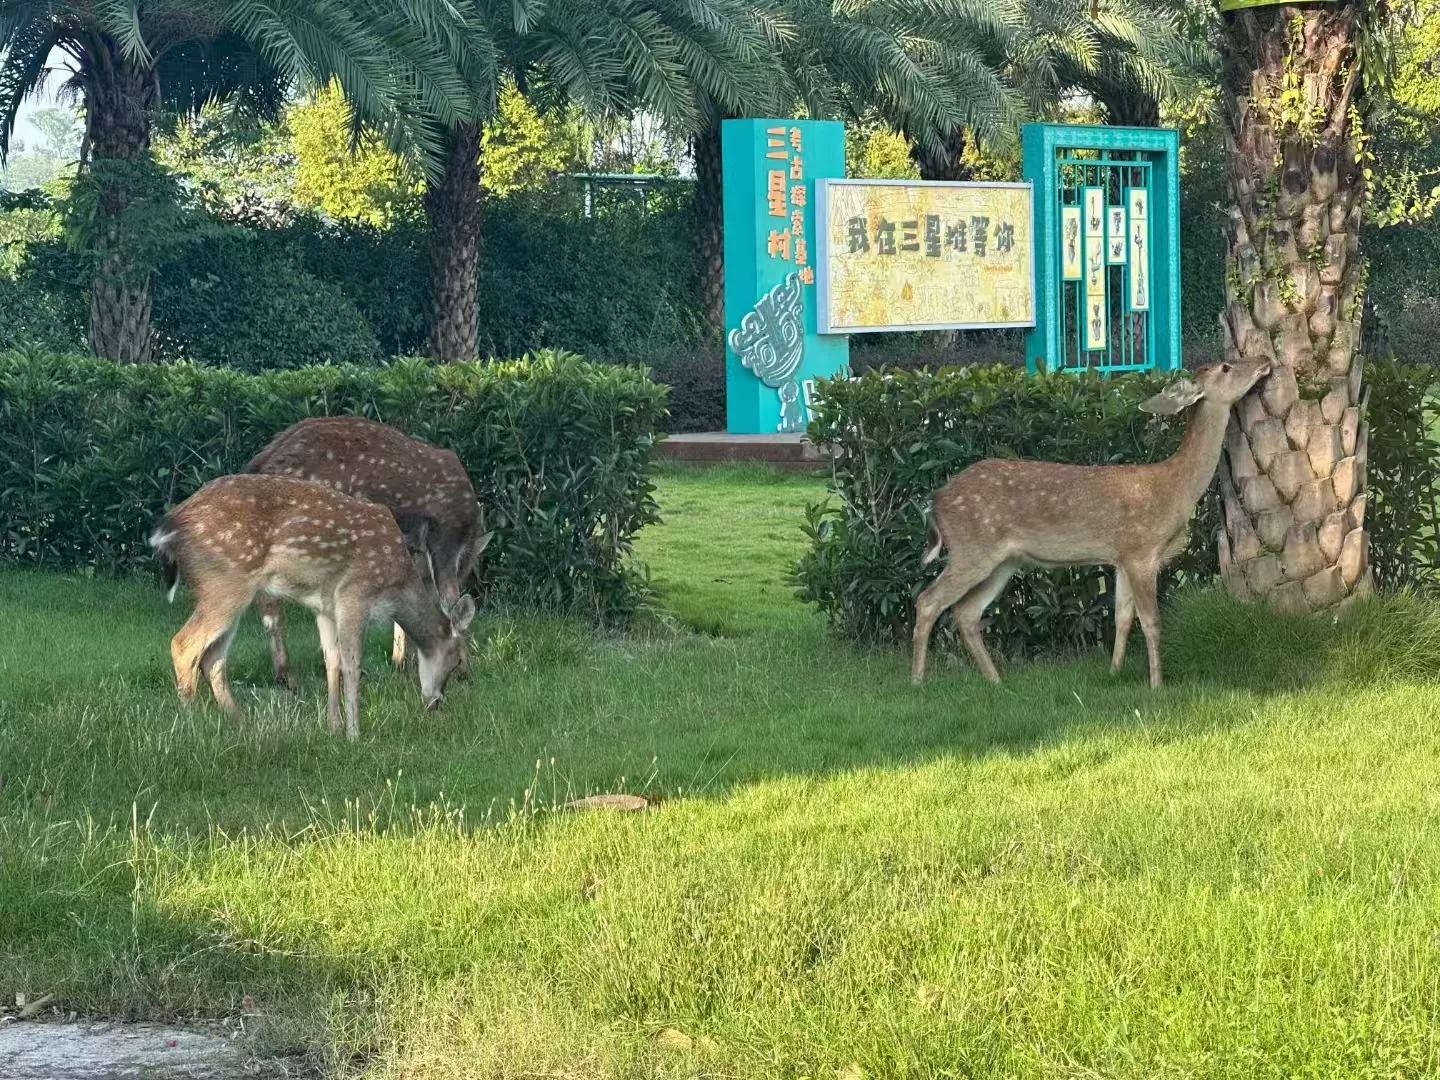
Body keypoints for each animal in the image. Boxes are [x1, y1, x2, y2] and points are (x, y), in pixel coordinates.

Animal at [149, 474, 476, 741]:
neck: (398, 583)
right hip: (225, 582)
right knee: (184, 645)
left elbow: (331, 660)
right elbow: (352, 664)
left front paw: (333, 727)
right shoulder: (354, 594)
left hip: (226, 591)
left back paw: (240, 724)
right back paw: (193, 724)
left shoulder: (324, 606)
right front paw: (355, 734)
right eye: (458, 660)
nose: (435, 703)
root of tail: (167, 530)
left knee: (213, 658)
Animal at [244, 417, 488, 691]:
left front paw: (400, 661)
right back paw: (291, 676)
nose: (461, 670)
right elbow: (451, 603)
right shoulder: (444, 538)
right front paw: (462, 666)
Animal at [911, 359, 1272, 690]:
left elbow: (1122, 617)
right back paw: (918, 682)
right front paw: (1157, 685)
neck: (1174, 490)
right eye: (1225, 366)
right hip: (972, 548)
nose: (1264, 361)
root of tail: (936, 501)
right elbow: (1151, 621)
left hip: (1004, 561)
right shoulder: (1141, 551)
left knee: (966, 611)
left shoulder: (1121, 558)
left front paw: (1114, 672)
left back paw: (996, 681)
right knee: (928, 600)